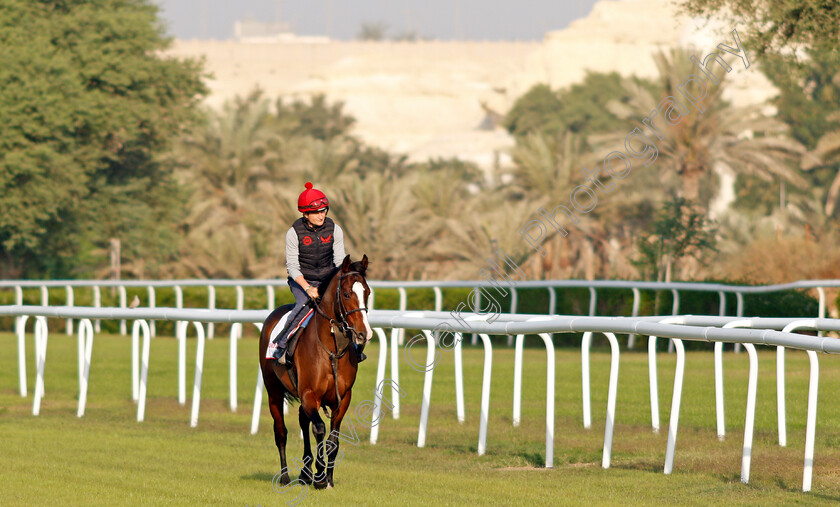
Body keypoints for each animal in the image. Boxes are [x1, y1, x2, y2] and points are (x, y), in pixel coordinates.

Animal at [258, 256, 372, 490]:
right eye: (346, 293)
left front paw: (327, 479)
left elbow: (333, 439)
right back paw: (286, 477)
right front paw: (319, 477)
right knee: (281, 431)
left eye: (367, 292)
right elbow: (319, 428)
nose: (364, 334)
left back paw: (305, 473)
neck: (332, 350)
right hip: (273, 391)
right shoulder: (310, 394)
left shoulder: (343, 398)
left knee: (303, 420)